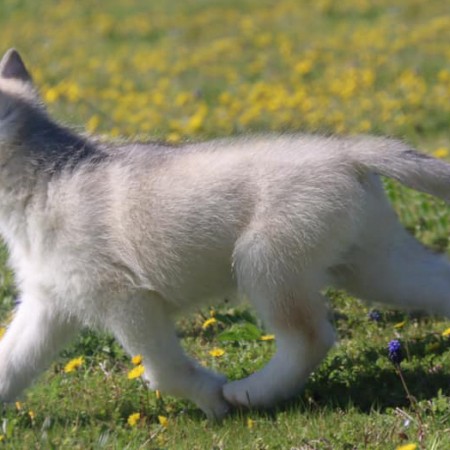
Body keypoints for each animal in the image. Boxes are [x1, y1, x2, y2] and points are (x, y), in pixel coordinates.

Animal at [0, 47, 450, 420]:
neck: (42, 181)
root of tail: (348, 152)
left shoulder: (129, 300)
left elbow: (164, 371)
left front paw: (212, 398)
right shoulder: (47, 303)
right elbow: (10, 362)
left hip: (265, 263)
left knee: (309, 337)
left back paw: (250, 392)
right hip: (376, 266)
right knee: (433, 282)